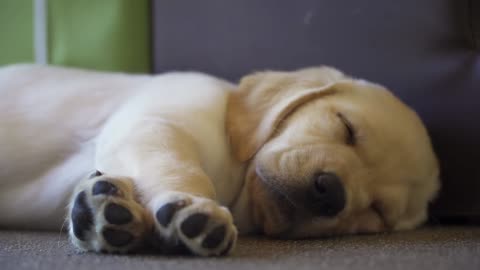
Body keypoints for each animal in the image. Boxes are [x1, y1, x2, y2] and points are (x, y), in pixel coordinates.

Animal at [0, 64, 438, 254]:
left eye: (378, 211)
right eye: (346, 128)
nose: (330, 192)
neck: (236, 177)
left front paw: (104, 211)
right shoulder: (152, 123)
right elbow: (178, 166)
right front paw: (191, 207)